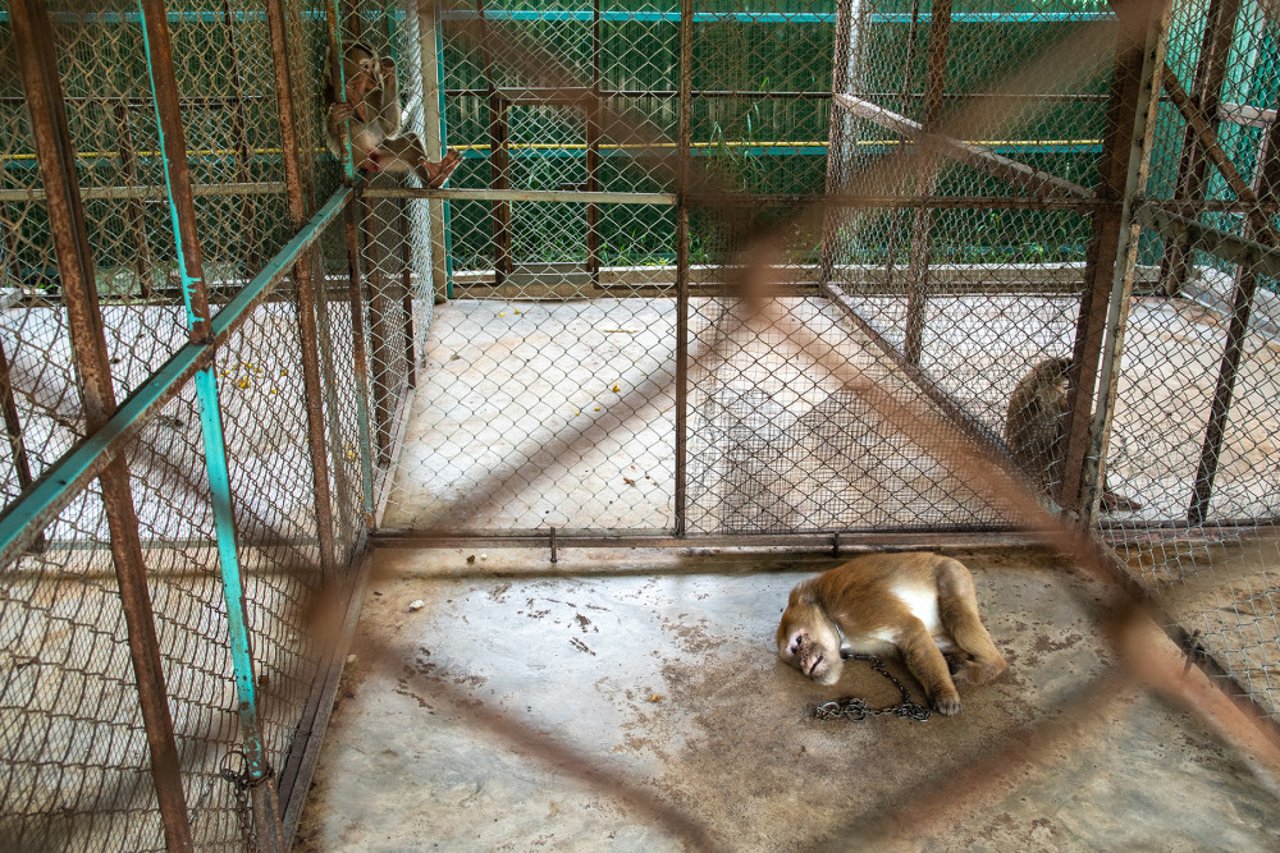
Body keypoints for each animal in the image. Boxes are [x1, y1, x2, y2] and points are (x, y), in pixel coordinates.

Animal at [322, 41, 463, 185]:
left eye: (374, 65)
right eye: (366, 66)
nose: (374, 78)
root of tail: (372, 160)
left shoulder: (375, 92)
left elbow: (389, 129)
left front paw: (389, 72)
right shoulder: (330, 92)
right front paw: (334, 116)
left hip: (384, 158)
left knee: (409, 141)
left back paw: (435, 177)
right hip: (364, 159)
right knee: (352, 122)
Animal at [773, 548, 1003, 712]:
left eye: (798, 641)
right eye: (794, 652)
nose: (804, 661)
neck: (830, 616)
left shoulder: (858, 606)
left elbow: (910, 631)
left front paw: (942, 692)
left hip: (953, 574)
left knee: (958, 616)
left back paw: (990, 666)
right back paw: (957, 658)